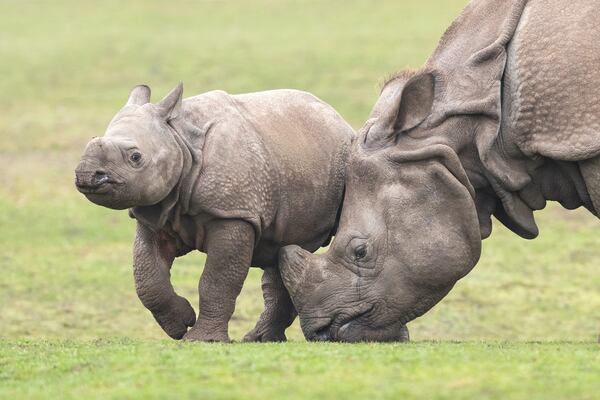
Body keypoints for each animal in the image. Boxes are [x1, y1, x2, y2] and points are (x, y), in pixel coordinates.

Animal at [75, 83, 356, 340]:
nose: (86, 174)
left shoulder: (233, 213)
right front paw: (180, 324)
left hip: (344, 157)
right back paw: (259, 339)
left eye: (135, 157)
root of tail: (337, 118)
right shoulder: (155, 214)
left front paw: (201, 339)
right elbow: (147, 277)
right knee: (282, 249)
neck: (179, 138)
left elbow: (217, 279)